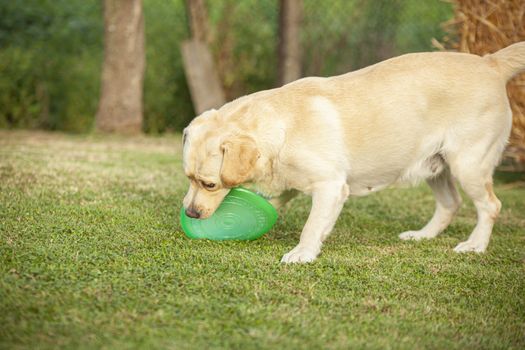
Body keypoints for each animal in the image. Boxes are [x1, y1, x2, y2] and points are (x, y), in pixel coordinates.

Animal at [182, 41, 520, 262]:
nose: (190, 213)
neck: (282, 125)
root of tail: (490, 62)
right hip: (434, 167)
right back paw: (422, 236)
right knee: (451, 204)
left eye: (209, 184)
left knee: (491, 205)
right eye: (188, 178)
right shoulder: (292, 184)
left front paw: (303, 253)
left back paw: (475, 245)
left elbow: (311, 225)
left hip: (469, 165)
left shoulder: (330, 186)